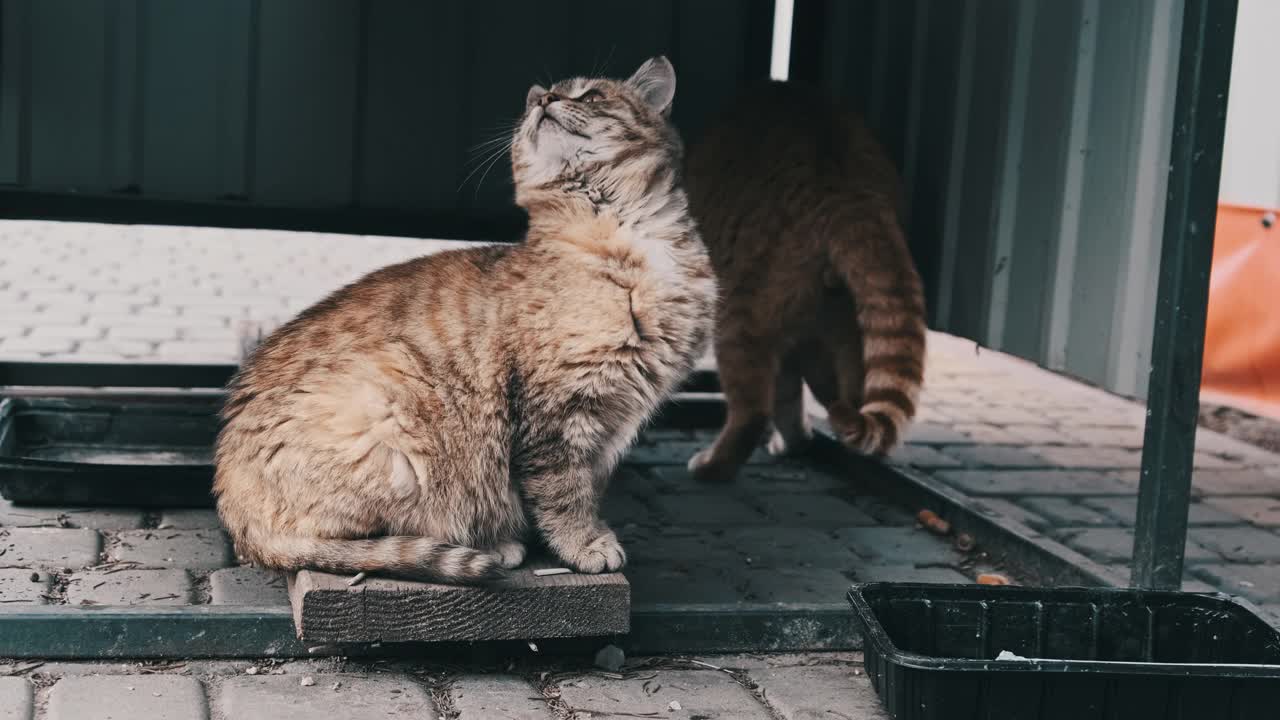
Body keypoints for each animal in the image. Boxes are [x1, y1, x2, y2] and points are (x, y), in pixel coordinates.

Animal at [215, 57, 716, 584]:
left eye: (591, 96)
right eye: (541, 99)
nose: (544, 100)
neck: (624, 236)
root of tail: (237, 520)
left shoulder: (614, 423)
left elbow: (586, 488)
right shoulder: (560, 412)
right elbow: (563, 492)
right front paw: (584, 544)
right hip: (389, 417)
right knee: (354, 540)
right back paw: (493, 545)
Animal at [686, 79, 926, 481]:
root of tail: (847, 190)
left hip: (741, 310)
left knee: (753, 410)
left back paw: (715, 465)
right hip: (842, 322)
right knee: (848, 394)